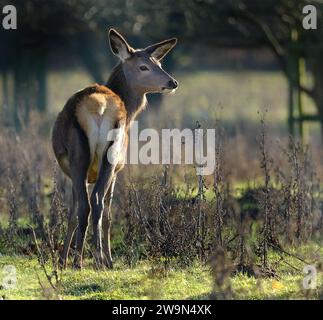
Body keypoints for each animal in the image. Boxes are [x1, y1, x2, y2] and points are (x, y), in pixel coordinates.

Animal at [52, 27, 178, 268]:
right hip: (107, 156)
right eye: (143, 66)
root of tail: (100, 105)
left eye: (159, 63)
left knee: (90, 203)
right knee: (94, 203)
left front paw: (63, 259)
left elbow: (78, 212)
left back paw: (85, 260)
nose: (172, 82)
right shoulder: (116, 168)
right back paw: (91, 259)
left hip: (87, 157)